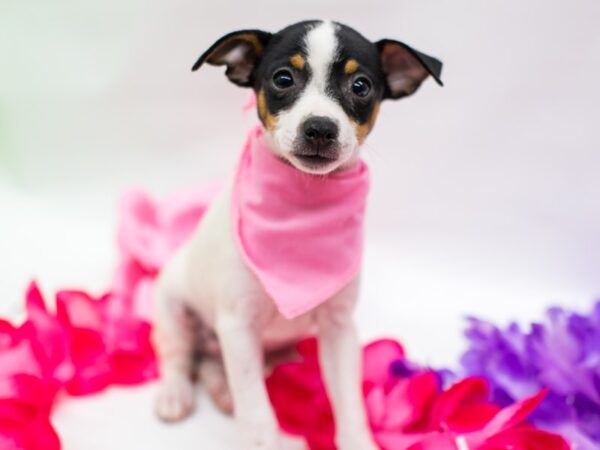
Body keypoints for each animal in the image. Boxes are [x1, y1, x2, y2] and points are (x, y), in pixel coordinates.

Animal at [152, 18, 442, 450]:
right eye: (283, 78)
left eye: (361, 86)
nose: (320, 128)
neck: (304, 200)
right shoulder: (238, 325)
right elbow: (257, 413)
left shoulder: (339, 331)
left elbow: (350, 405)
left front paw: (357, 441)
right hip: (174, 309)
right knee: (179, 356)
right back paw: (175, 393)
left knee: (211, 363)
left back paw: (222, 388)